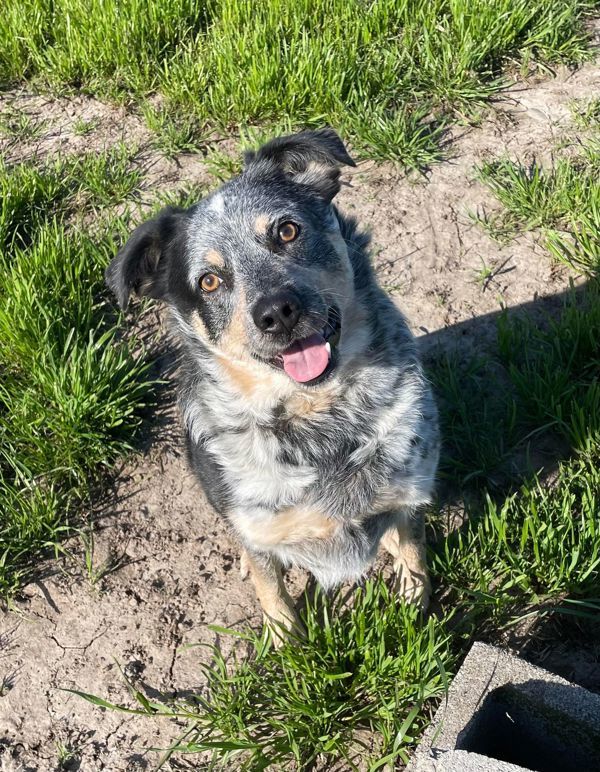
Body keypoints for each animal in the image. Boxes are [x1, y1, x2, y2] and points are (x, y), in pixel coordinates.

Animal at [104, 128, 440, 640]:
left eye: (286, 231)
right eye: (209, 281)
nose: (277, 312)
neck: (319, 419)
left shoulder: (409, 497)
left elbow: (413, 559)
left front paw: (414, 614)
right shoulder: (259, 528)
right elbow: (273, 594)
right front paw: (289, 645)